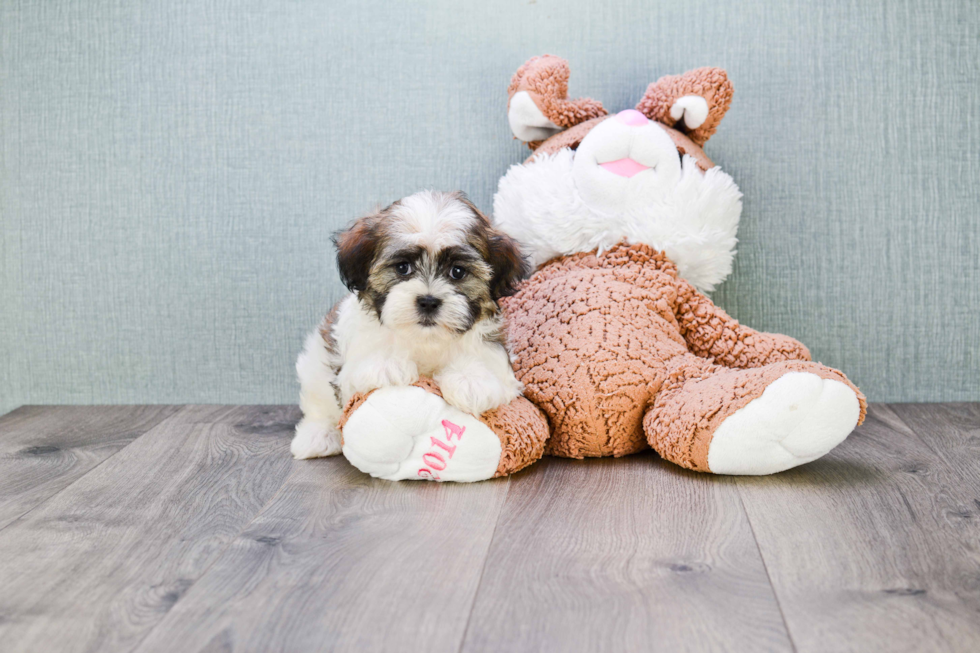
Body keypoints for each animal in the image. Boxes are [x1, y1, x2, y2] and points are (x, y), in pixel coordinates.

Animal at [290, 191, 532, 460]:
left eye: (457, 272)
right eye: (402, 267)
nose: (428, 301)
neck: (424, 339)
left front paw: (471, 381)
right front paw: (386, 364)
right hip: (314, 364)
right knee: (318, 402)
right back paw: (318, 435)